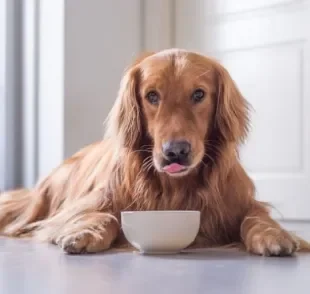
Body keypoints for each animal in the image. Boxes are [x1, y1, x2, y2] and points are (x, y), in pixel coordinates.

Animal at [0, 48, 310, 255]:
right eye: (152, 96)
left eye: (199, 94)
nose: (176, 152)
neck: (175, 187)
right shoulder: (87, 205)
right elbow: (103, 215)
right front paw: (85, 232)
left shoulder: (242, 202)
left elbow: (256, 217)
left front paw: (274, 235)